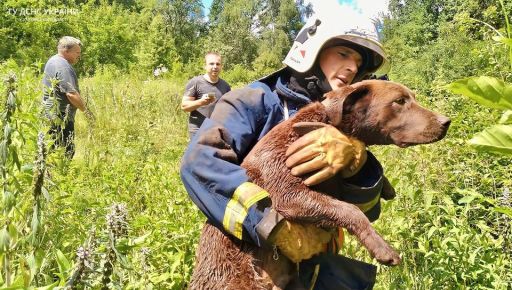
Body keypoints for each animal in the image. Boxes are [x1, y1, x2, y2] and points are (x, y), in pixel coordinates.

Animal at [190, 80, 450, 290]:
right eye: (399, 101)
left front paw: (386, 186)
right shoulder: (285, 188)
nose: (445, 121)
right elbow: (350, 210)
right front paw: (384, 250)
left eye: (412, 97)